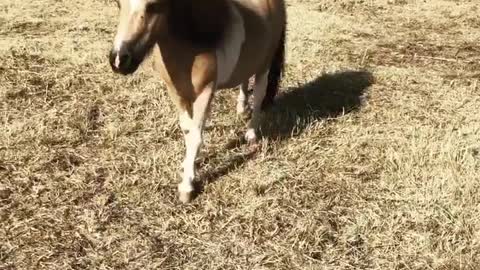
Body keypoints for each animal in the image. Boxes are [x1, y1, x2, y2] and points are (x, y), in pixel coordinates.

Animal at [109, 0, 286, 202]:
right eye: (118, 4)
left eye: (153, 6)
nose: (119, 60)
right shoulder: (177, 93)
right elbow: (187, 130)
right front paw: (187, 164)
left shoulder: (204, 93)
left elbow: (195, 136)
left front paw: (187, 186)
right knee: (244, 79)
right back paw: (242, 109)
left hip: (264, 66)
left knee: (259, 96)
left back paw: (251, 133)